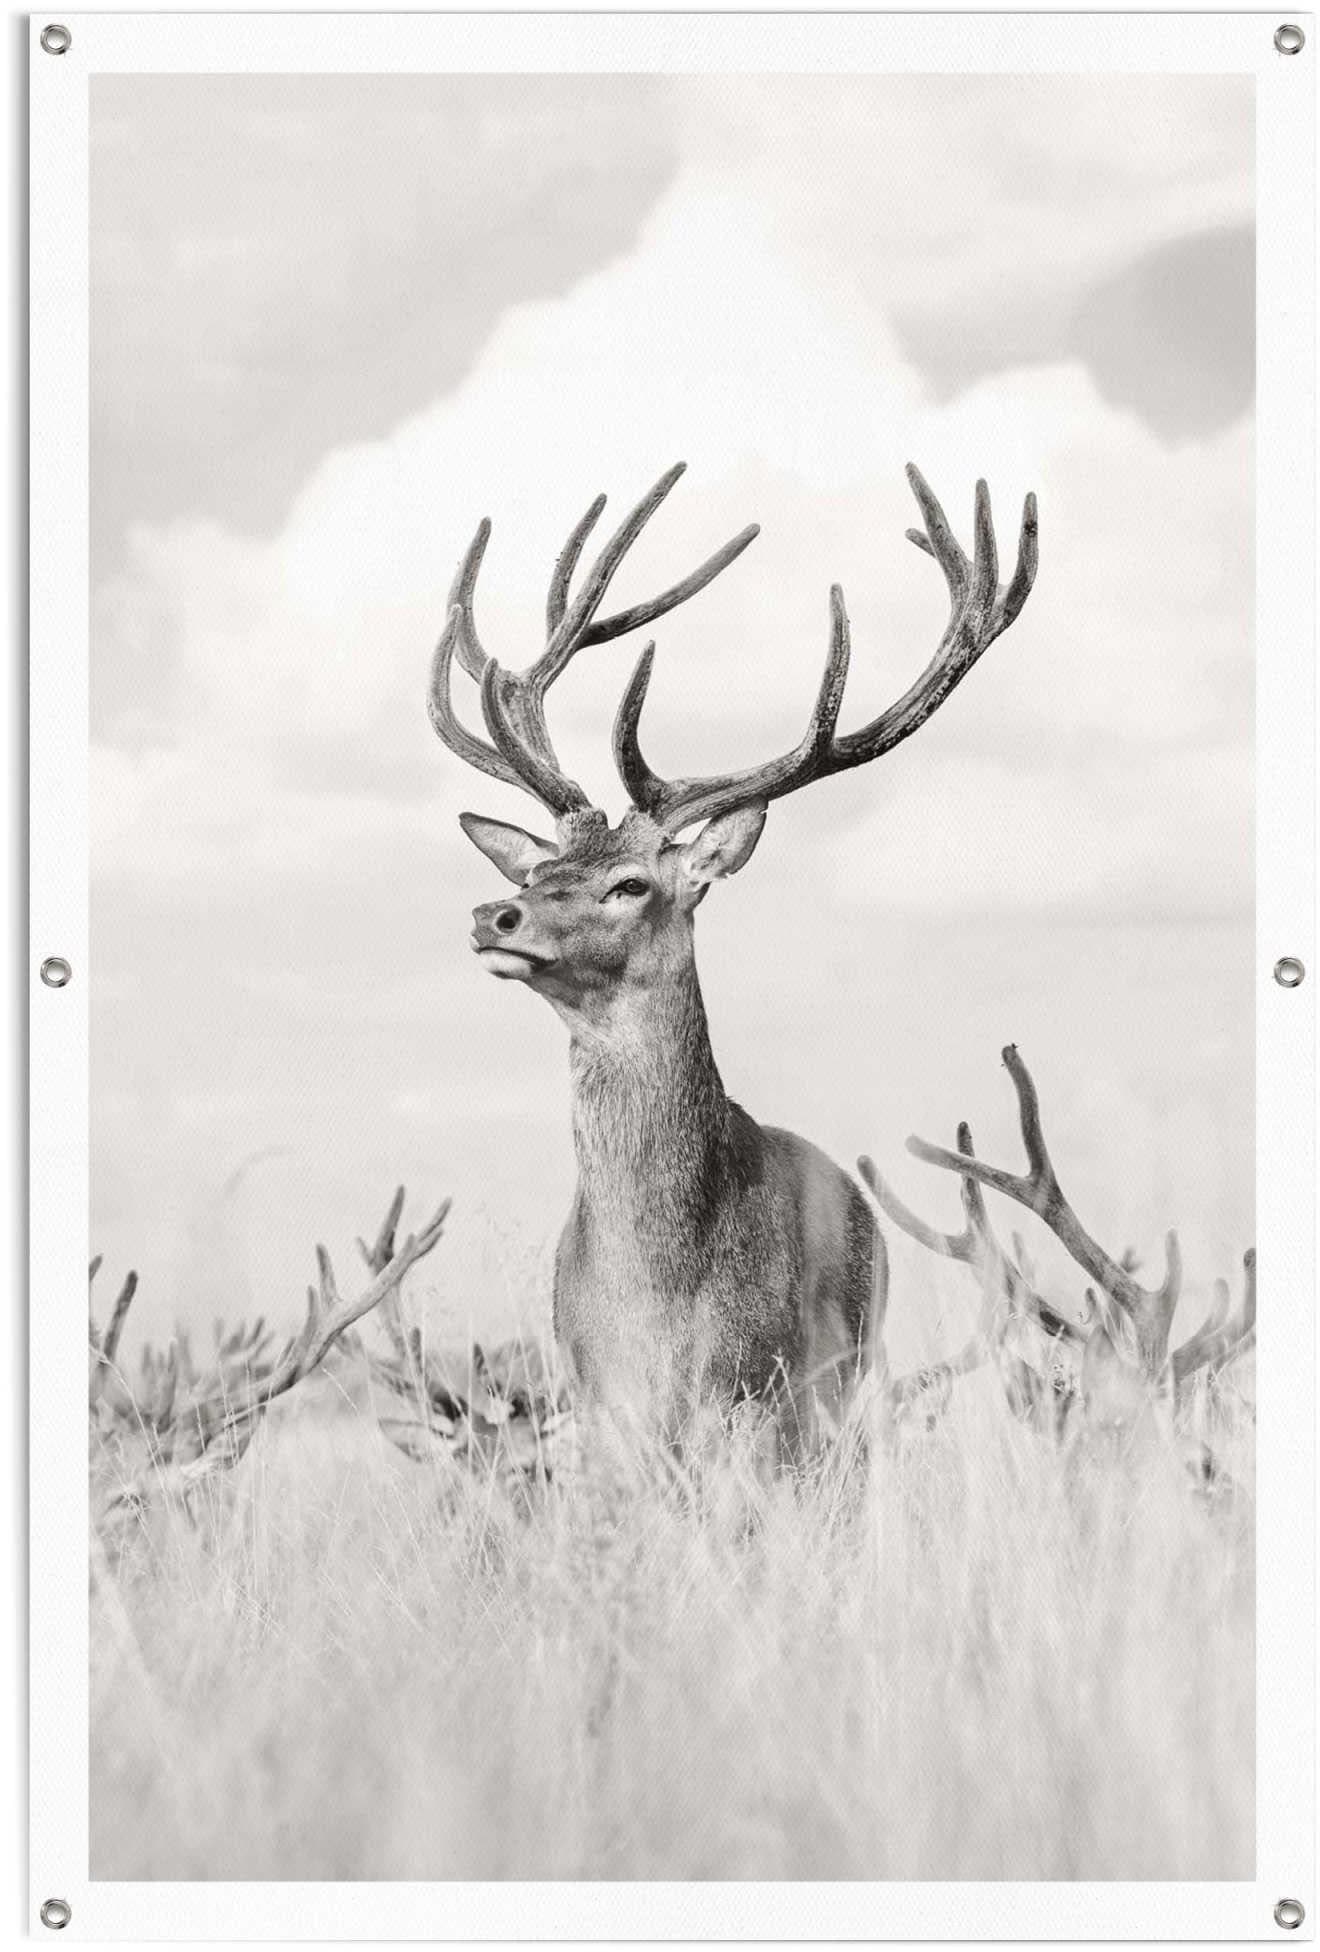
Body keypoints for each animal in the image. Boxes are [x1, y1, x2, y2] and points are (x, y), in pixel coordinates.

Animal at [426, 462, 1039, 1450]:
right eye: (543, 868)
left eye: (631, 884)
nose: (495, 913)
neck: (657, 1307)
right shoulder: (601, 1408)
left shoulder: (755, 1397)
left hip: (846, 1381)